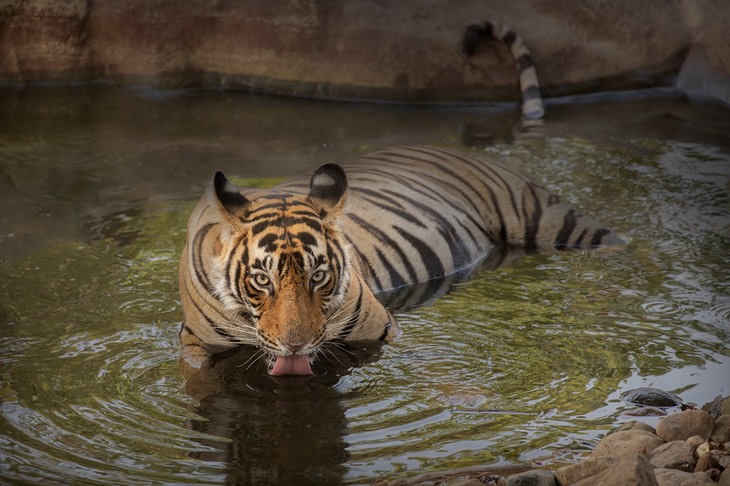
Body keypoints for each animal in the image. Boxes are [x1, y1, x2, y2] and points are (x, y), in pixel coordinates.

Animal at [176, 21, 620, 376]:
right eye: (261, 281)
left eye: (318, 276)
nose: (295, 344)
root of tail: (481, 153)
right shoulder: (194, 341)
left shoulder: (381, 328)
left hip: (551, 218)